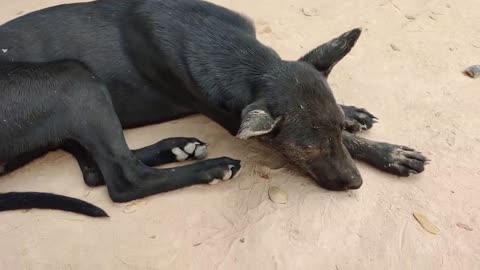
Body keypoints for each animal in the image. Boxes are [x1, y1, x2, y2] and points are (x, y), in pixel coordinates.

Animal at [0, 0, 428, 216]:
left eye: (337, 128)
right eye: (306, 149)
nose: (355, 184)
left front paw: (358, 120)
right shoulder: (230, 115)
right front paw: (389, 154)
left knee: (94, 169)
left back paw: (177, 148)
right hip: (74, 78)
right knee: (122, 180)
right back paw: (211, 168)